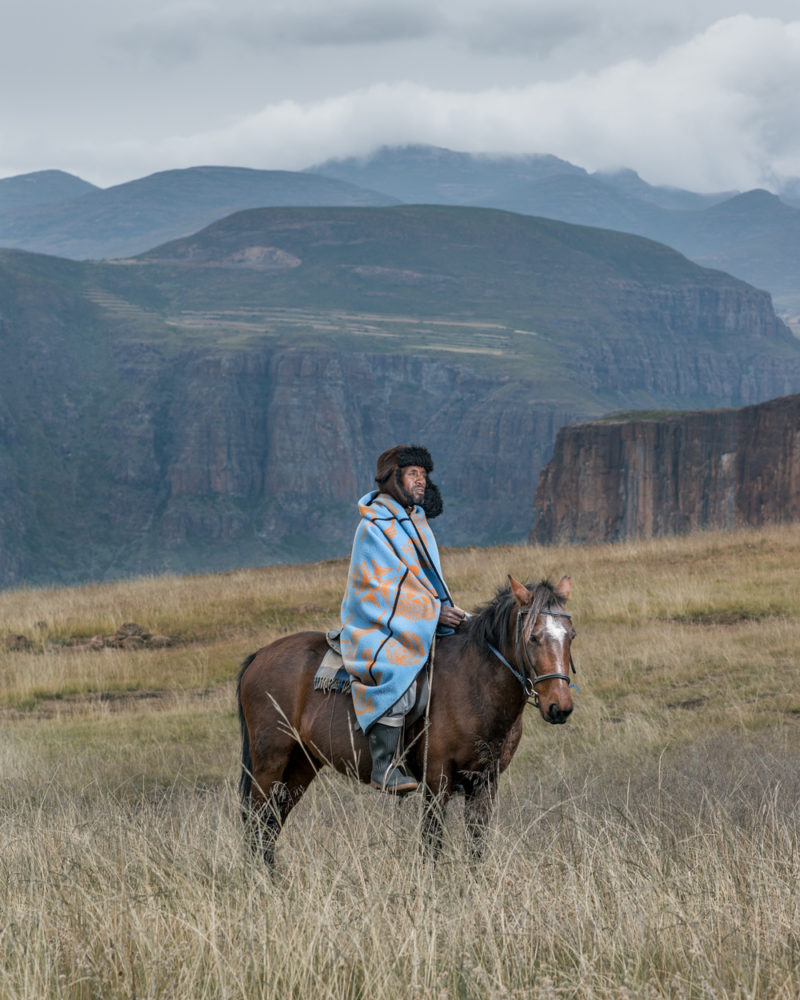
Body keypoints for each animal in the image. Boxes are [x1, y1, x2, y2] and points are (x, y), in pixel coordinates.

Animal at [236, 576, 576, 864]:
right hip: (270, 762)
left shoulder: (485, 782)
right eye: (533, 637)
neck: (474, 682)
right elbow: (432, 845)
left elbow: (477, 846)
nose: (559, 707)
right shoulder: (437, 781)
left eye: (570, 635)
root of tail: (259, 656)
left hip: (301, 764)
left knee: (271, 824)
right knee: (256, 822)